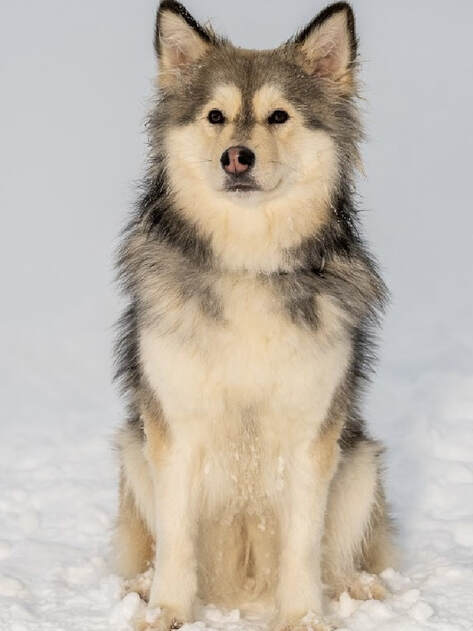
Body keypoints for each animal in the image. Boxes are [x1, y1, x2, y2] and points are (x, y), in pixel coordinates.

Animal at [113, 2, 394, 628]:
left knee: (334, 557)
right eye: (216, 116)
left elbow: (301, 544)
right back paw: (142, 588)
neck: (247, 264)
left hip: (360, 460)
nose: (236, 157)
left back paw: (355, 589)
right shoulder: (176, 427)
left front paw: (303, 618)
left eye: (279, 116)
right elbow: (177, 541)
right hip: (133, 447)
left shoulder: (311, 432)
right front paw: (167, 611)